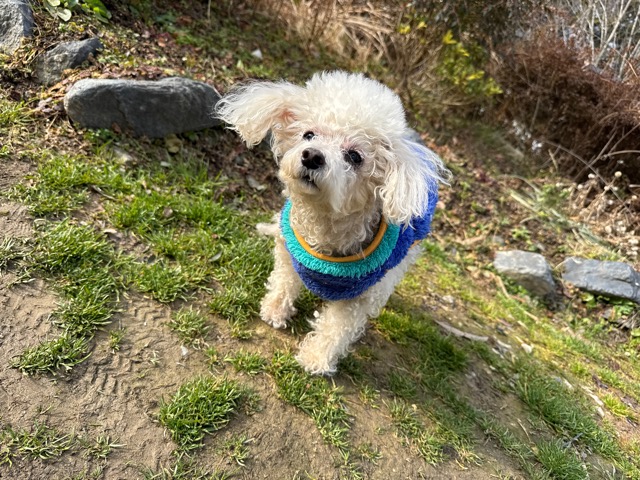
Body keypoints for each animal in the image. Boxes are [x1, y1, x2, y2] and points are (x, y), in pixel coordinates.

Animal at [216, 71, 447, 375]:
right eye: (308, 134)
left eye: (354, 156)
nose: (312, 155)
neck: (325, 221)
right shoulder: (289, 248)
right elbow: (284, 280)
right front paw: (275, 310)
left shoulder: (359, 296)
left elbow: (337, 328)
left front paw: (317, 357)